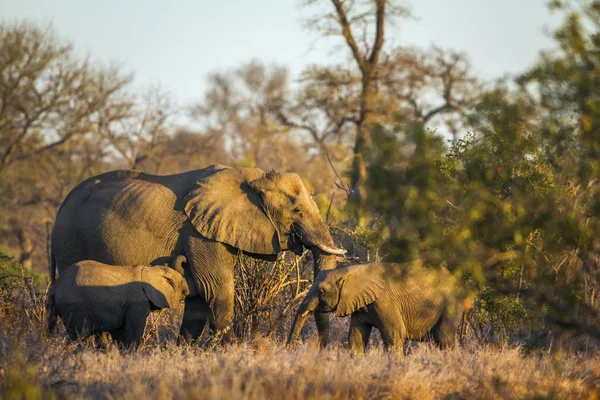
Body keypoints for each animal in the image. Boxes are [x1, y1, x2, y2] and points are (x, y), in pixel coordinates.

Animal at [47, 256, 189, 346]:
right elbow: (133, 329)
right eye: (181, 285)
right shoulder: (137, 303)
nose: (187, 291)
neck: (150, 269)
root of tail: (55, 286)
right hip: (74, 306)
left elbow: (119, 332)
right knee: (78, 335)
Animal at [288, 262, 466, 354]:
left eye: (321, 292)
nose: (289, 349)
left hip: (451, 304)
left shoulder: (384, 302)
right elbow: (356, 336)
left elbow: (395, 333)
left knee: (444, 339)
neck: (349, 271)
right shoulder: (361, 305)